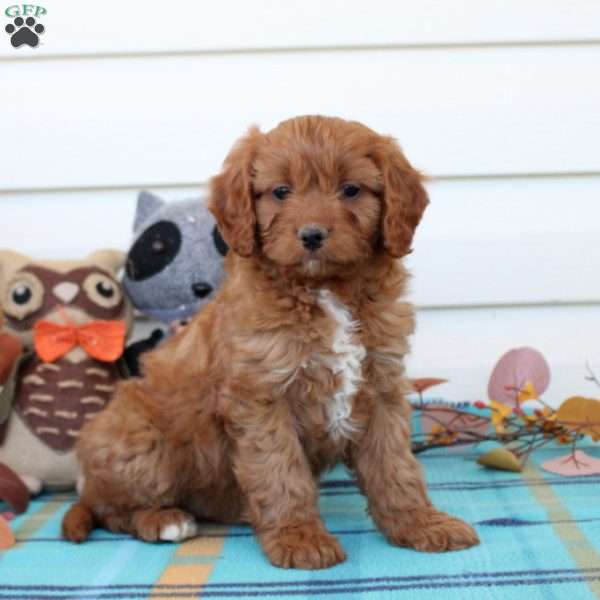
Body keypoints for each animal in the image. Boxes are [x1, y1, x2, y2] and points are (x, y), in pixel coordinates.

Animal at [63, 116, 480, 568]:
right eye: (281, 192)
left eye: (350, 189)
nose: (312, 235)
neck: (324, 289)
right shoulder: (261, 396)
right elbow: (280, 471)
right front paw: (299, 538)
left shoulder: (381, 388)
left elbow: (396, 468)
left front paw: (422, 524)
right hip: (144, 443)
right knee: (108, 508)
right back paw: (164, 520)